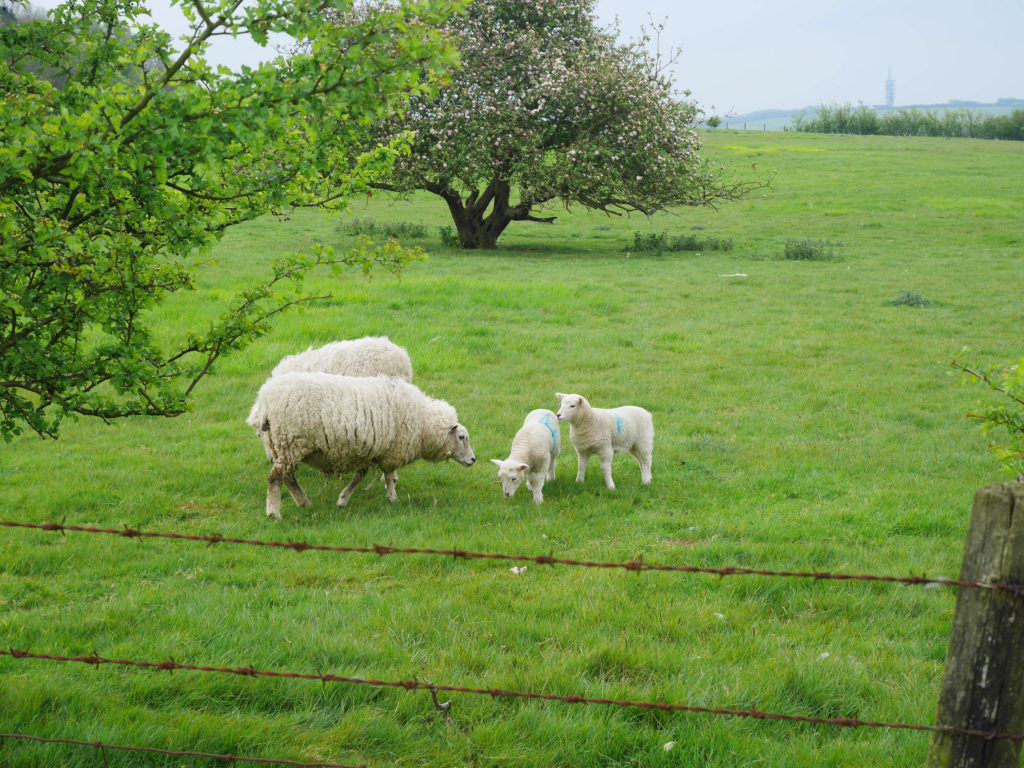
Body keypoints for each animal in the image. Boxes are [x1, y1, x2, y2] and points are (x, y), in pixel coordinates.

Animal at [246, 372, 476, 518]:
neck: (422, 421)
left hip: (281, 446)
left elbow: (360, 476)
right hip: (290, 442)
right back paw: (274, 512)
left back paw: (304, 503)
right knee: (277, 476)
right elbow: (388, 475)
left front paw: (342, 499)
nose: (473, 460)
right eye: (461, 437)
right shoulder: (390, 450)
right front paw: (393, 498)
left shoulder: (368, 450)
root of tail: (265, 400)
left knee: (288, 476)